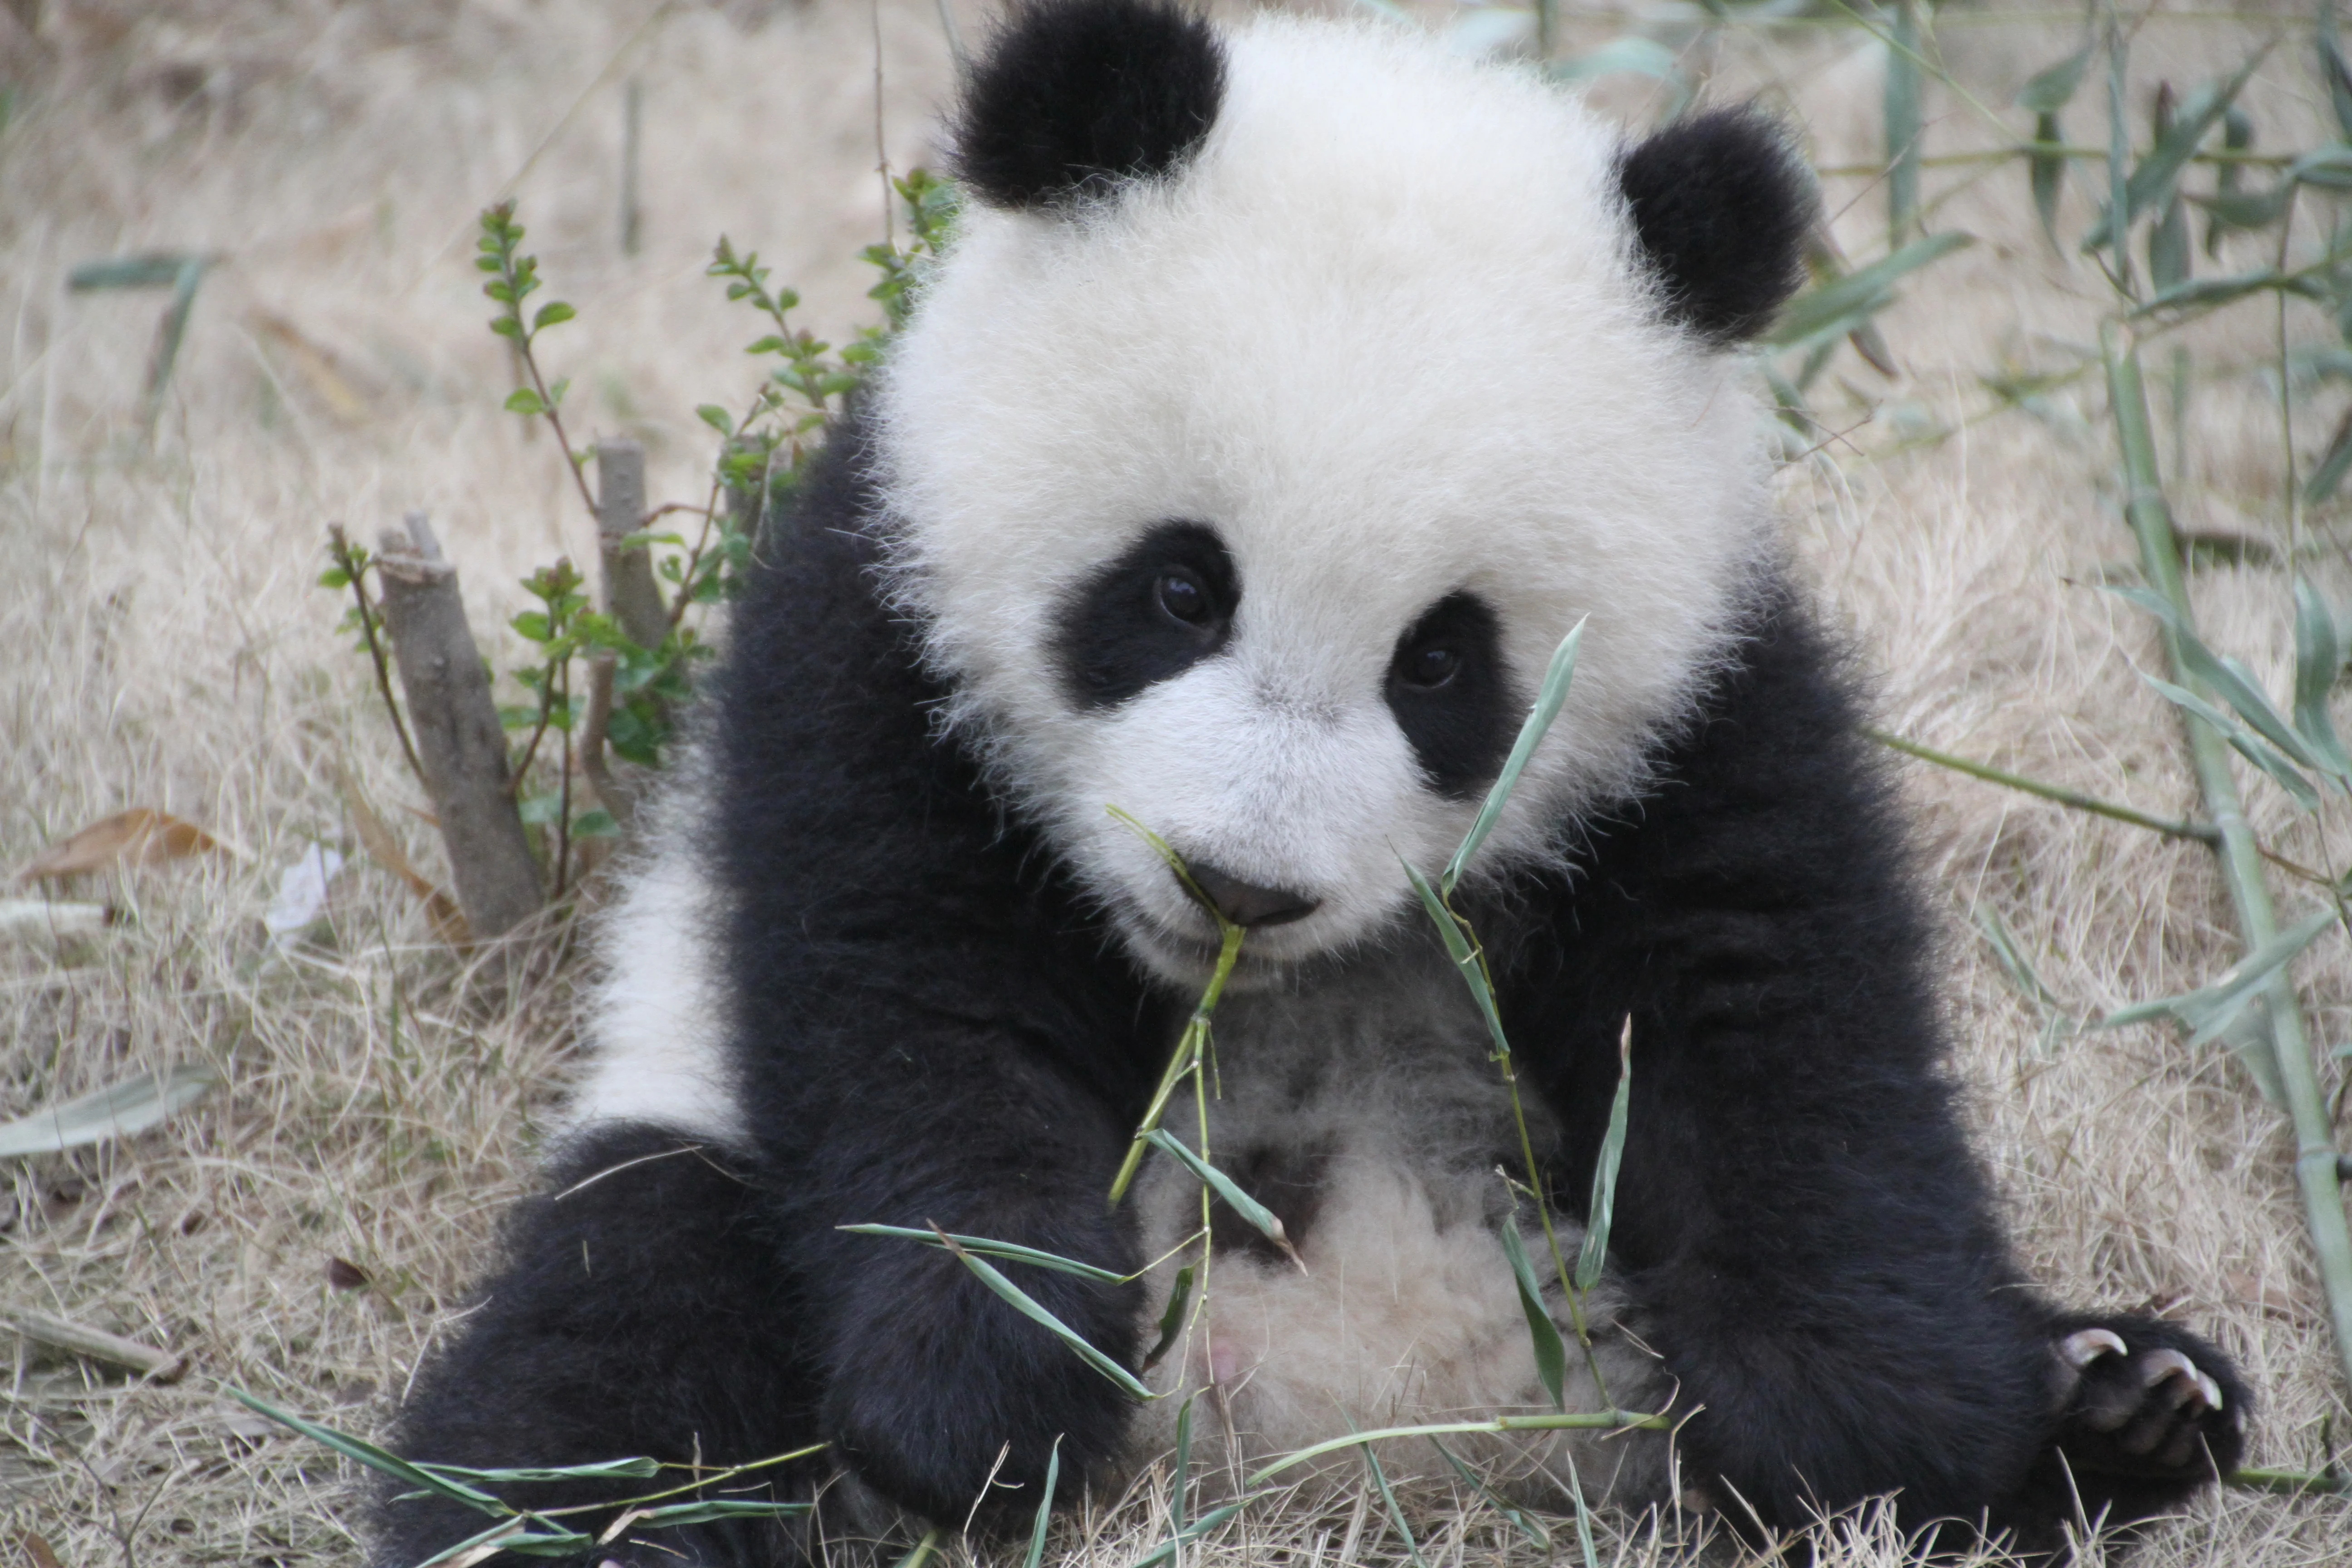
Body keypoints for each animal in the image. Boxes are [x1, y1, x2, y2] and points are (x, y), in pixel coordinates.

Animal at [374, 3, 2249, 1564]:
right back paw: (574, 1526)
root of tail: (1350, 1439)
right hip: (683, 1148)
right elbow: (912, 1000)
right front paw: (986, 1388)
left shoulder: (1706, 708)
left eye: (1443, 665)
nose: (1236, 888)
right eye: (1177, 587)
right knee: (612, 1356)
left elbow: (1773, 1015)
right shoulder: (870, 638)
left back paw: (2121, 1401)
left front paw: (1867, 1425)